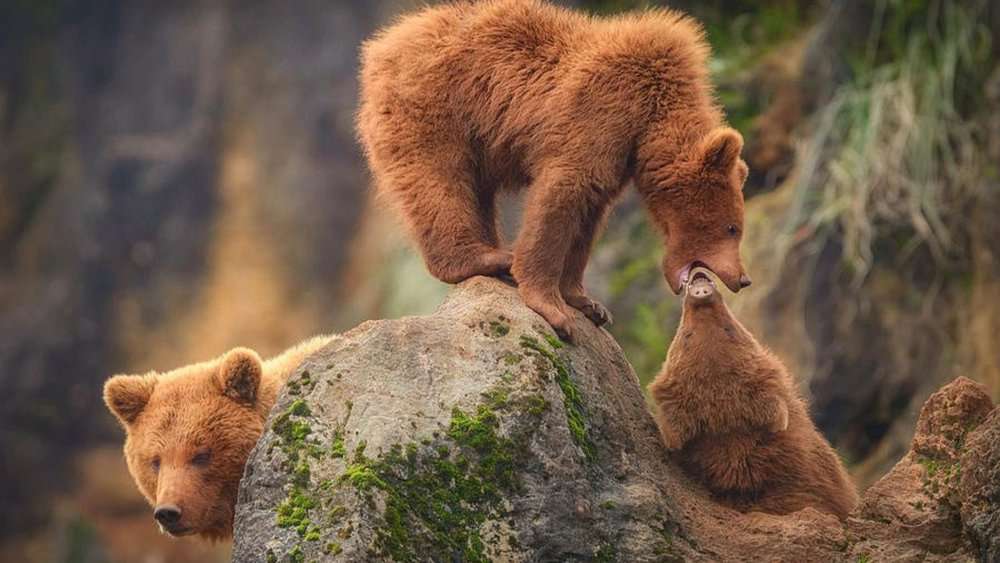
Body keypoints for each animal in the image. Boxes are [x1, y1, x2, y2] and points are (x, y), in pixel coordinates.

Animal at [357, 0, 752, 342]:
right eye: (732, 227)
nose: (743, 279)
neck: (652, 117)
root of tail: (384, 42)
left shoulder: (618, 156)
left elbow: (588, 216)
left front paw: (588, 303)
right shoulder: (600, 113)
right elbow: (560, 196)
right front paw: (554, 309)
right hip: (437, 107)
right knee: (440, 184)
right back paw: (488, 257)